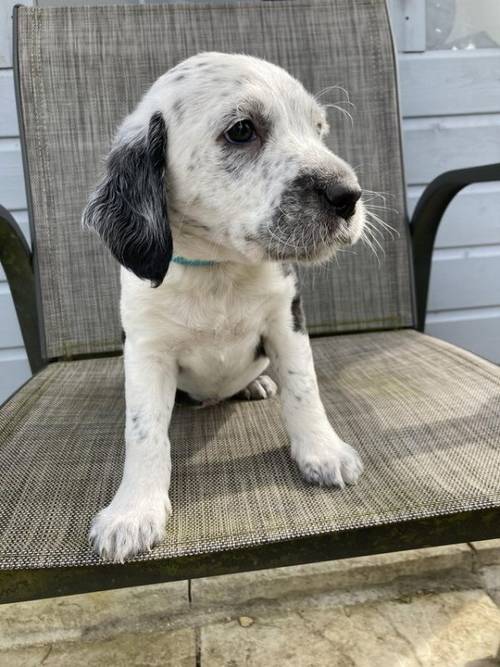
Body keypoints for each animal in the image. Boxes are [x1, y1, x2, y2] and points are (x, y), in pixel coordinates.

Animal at [84, 53, 368, 564]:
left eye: (319, 129)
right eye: (241, 130)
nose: (349, 196)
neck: (218, 269)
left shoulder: (286, 320)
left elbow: (305, 390)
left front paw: (322, 452)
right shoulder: (146, 350)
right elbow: (144, 432)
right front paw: (133, 512)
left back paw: (255, 383)